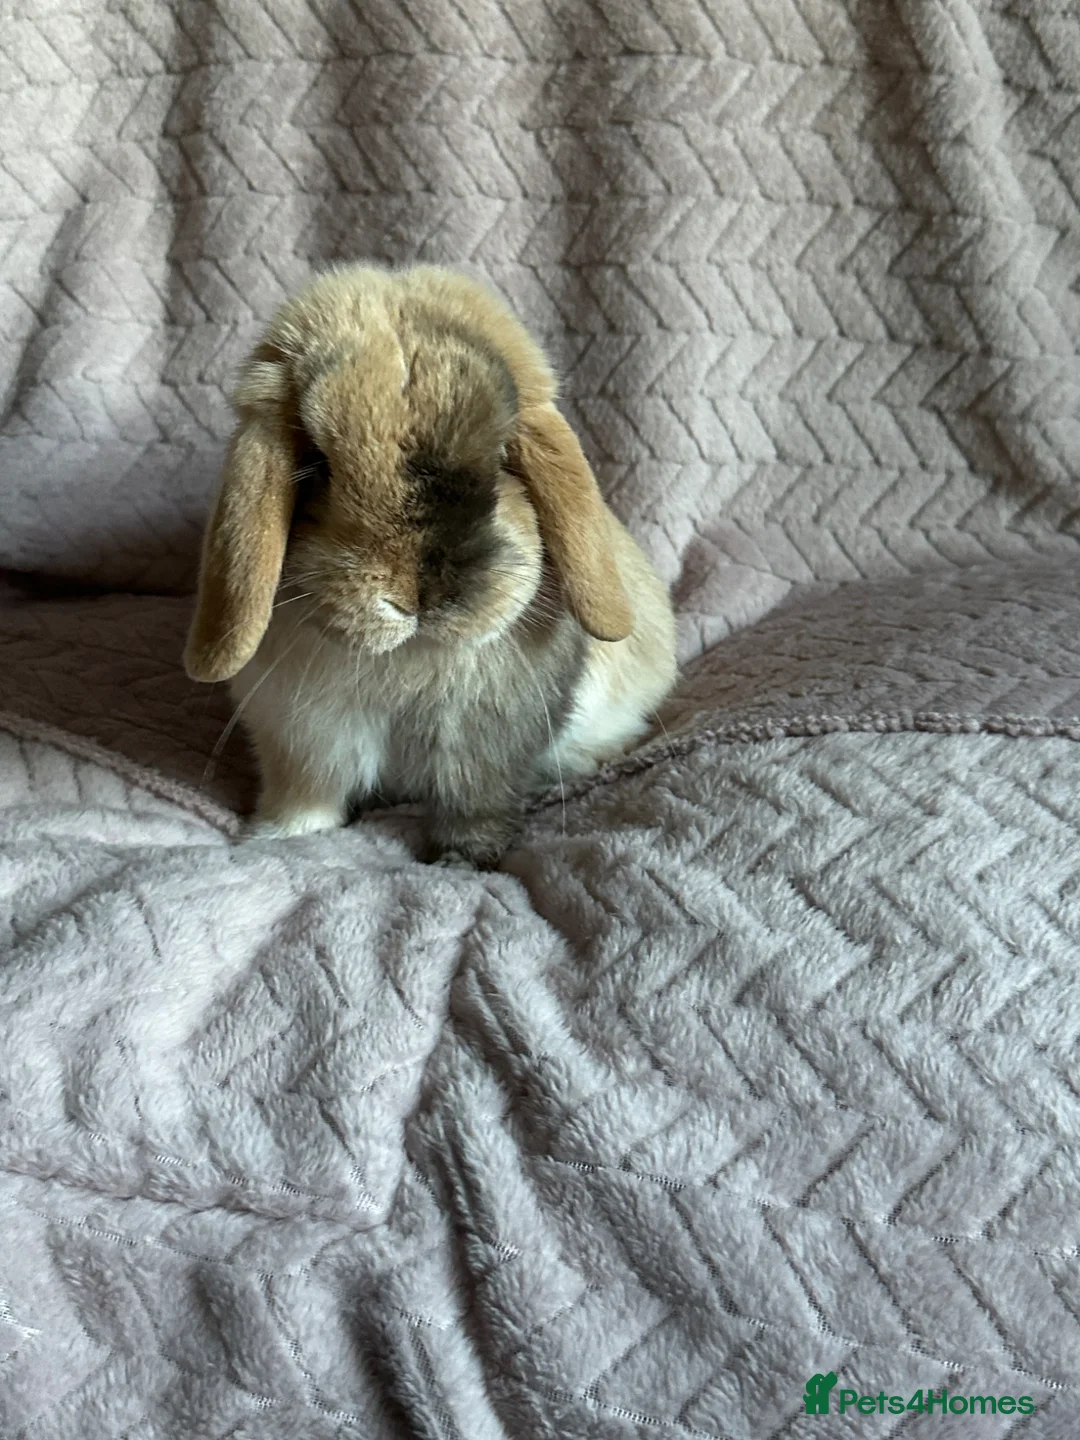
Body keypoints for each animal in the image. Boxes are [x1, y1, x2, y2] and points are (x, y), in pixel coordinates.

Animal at [184, 264, 677, 867]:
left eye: (503, 460)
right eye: (317, 467)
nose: (419, 595)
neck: (407, 660)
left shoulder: (484, 742)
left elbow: (475, 801)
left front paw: (465, 860)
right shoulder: (303, 738)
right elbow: (307, 794)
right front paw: (277, 838)